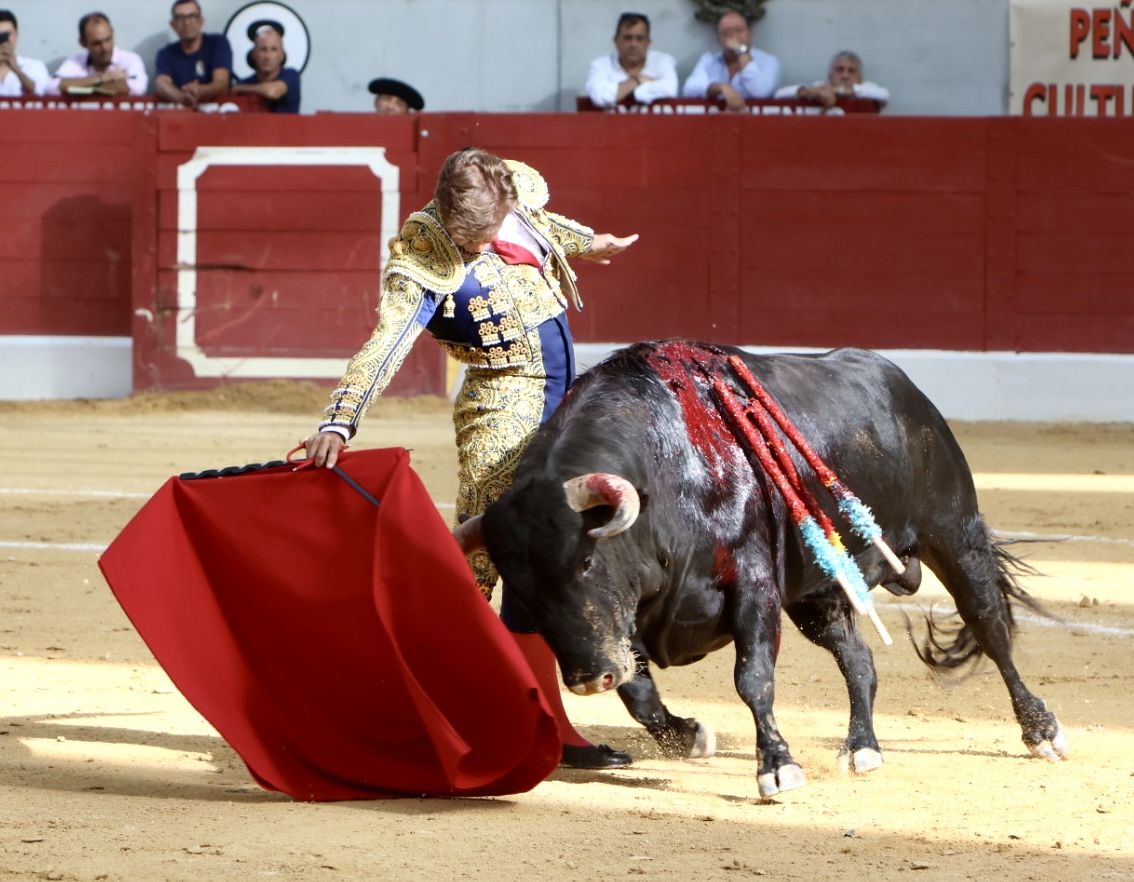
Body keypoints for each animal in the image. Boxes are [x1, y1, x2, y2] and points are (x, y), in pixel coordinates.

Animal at [455, 340, 1065, 793]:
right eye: (522, 590)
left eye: (585, 561)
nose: (587, 679)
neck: (665, 476)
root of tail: (902, 386)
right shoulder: (630, 623)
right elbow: (639, 695)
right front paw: (690, 735)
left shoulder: (752, 585)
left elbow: (752, 679)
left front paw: (777, 767)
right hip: (818, 594)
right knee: (860, 660)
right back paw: (862, 749)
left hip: (954, 531)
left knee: (989, 624)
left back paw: (1041, 731)